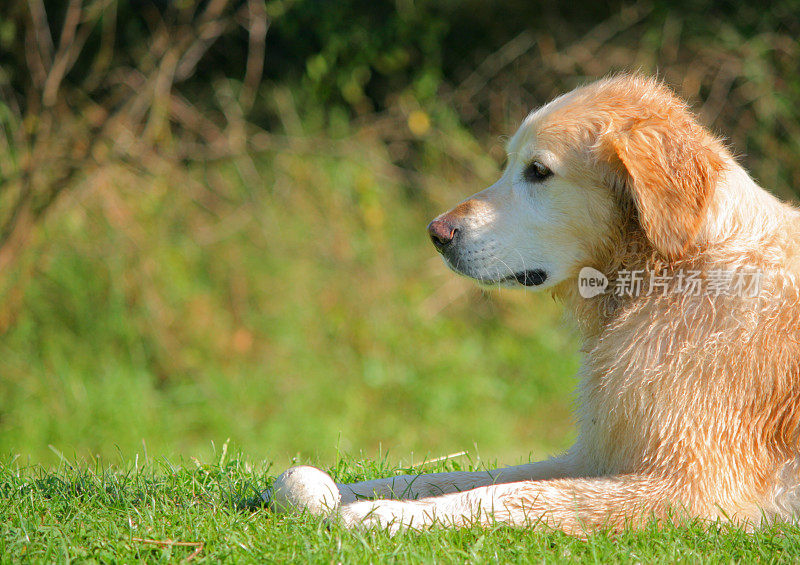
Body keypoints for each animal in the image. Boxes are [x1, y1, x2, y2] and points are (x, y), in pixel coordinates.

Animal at [264, 75, 800, 532]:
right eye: (508, 163)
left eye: (539, 171)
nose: (436, 233)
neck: (674, 270)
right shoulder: (595, 454)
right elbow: (451, 477)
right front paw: (332, 491)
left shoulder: (697, 491)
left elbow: (507, 495)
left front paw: (383, 516)